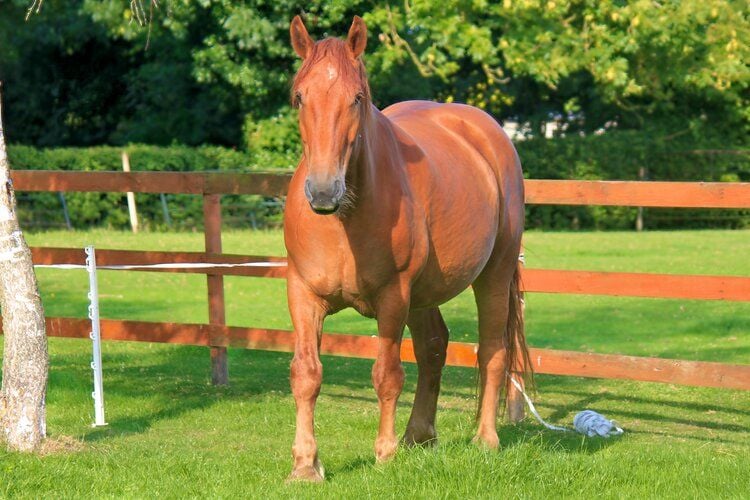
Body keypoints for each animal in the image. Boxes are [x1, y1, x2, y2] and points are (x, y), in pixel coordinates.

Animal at [284, 15, 532, 480]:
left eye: (357, 98)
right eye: (299, 96)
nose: (323, 191)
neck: (343, 220)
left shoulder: (392, 297)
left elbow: (387, 374)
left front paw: (384, 453)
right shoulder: (304, 295)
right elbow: (306, 374)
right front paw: (306, 465)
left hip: (493, 274)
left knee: (492, 351)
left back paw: (485, 440)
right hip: (424, 294)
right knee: (434, 347)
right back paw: (419, 435)